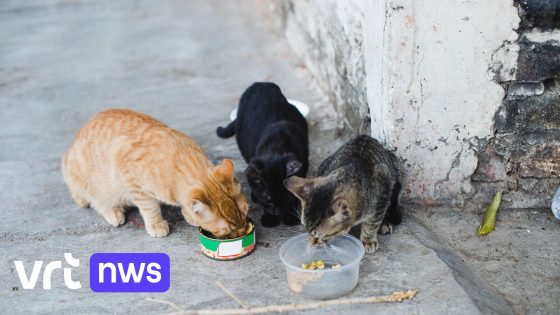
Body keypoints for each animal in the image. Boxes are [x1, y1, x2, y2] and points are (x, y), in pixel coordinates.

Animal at [59, 110, 249, 238]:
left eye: (246, 212)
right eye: (226, 229)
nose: (242, 231)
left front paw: (188, 215)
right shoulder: (132, 181)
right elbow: (149, 207)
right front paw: (156, 224)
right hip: (97, 187)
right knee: (96, 201)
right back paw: (113, 212)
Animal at [217, 82, 308, 227]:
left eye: (285, 197)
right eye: (268, 199)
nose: (278, 211)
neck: (275, 149)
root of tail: (261, 84)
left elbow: (295, 196)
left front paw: (290, 216)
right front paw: (269, 217)